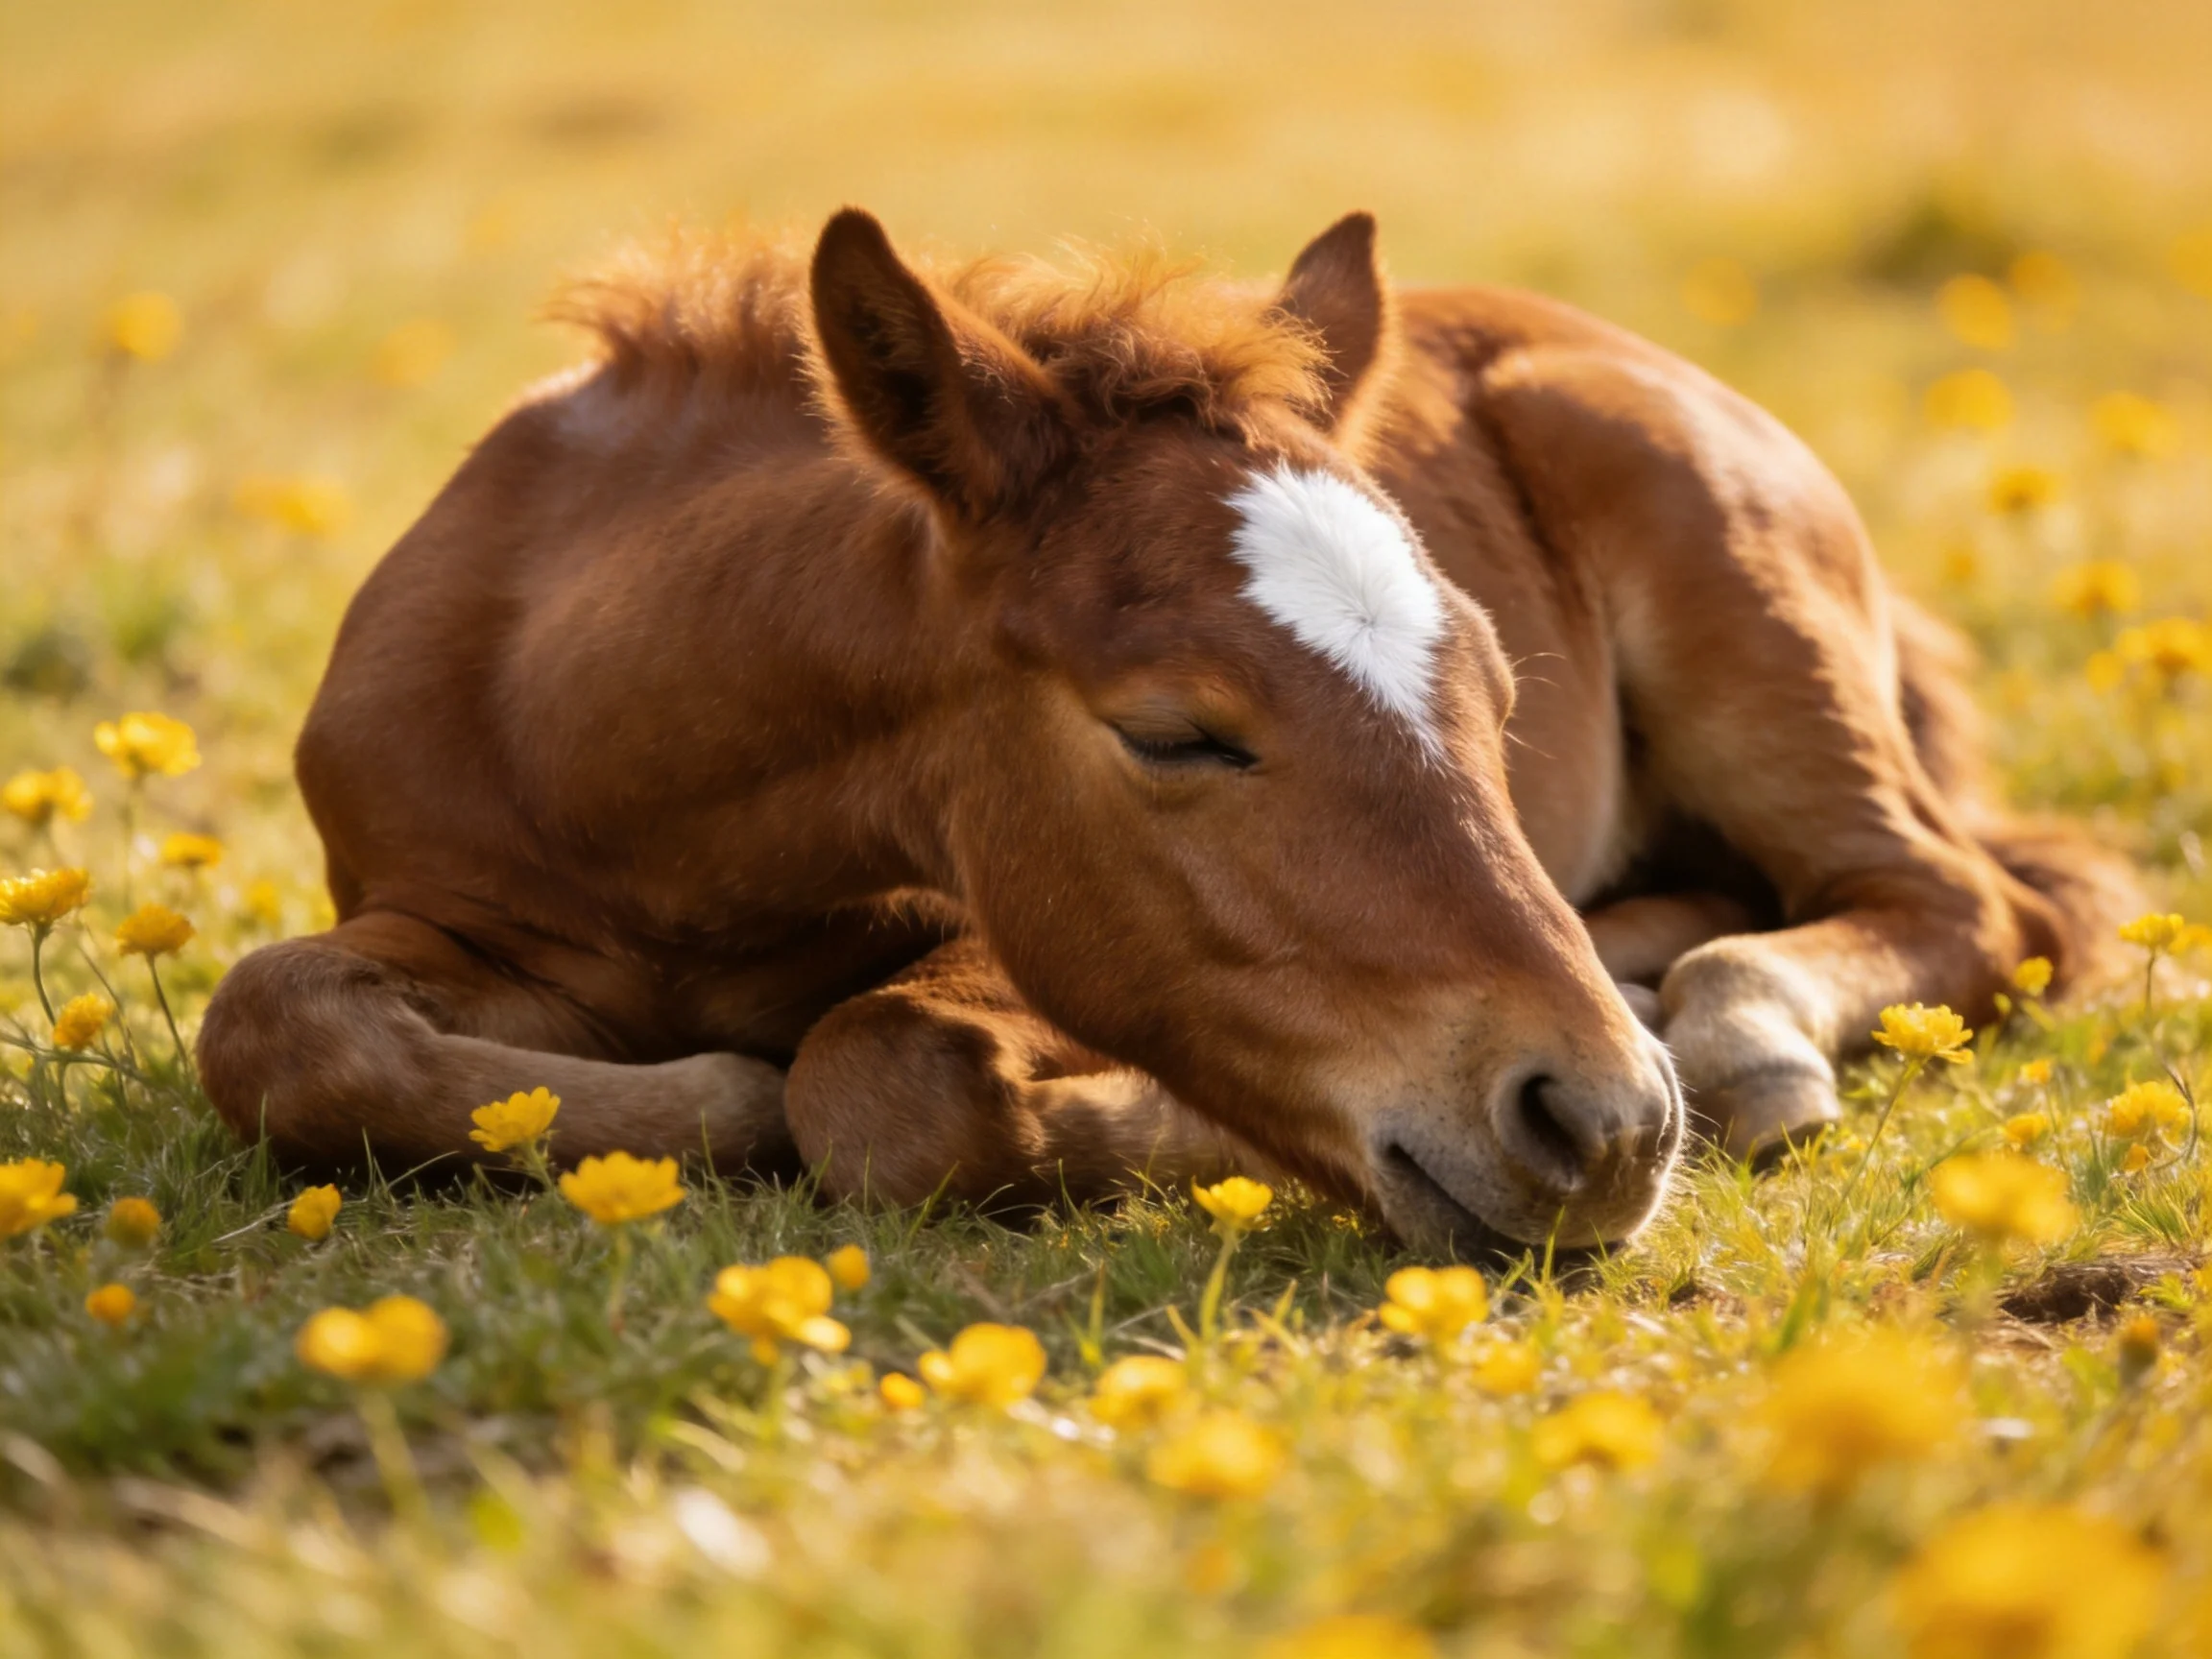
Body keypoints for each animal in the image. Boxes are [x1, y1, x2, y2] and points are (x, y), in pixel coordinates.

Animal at [196, 208, 2129, 1256]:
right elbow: (272, 1024)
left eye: (1499, 704)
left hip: (1746, 616)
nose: (1600, 1129)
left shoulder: (987, 934)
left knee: (1958, 898)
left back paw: (1724, 1034)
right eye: (1177, 734)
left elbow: (879, 1072)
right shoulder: (459, 911)